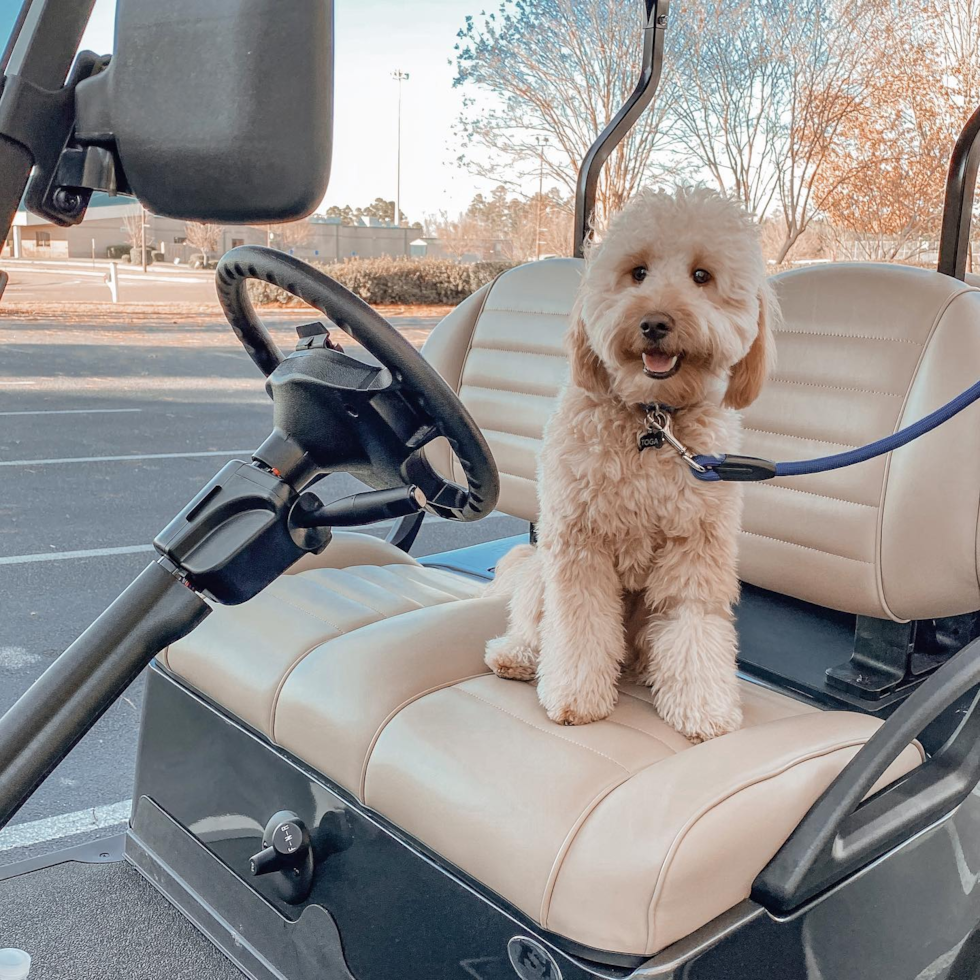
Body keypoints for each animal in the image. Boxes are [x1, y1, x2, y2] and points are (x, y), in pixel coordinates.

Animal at [486, 184, 776, 740]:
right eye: (637, 272)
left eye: (702, 276)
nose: (656, 322)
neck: (652, 421)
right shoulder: (578, 542)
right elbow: (579, 625)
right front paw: (576, 696)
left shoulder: (696, 547)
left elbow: (694, 627)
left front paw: (703, 707)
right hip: (540, 570)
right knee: (532, 620)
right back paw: (516, 655)